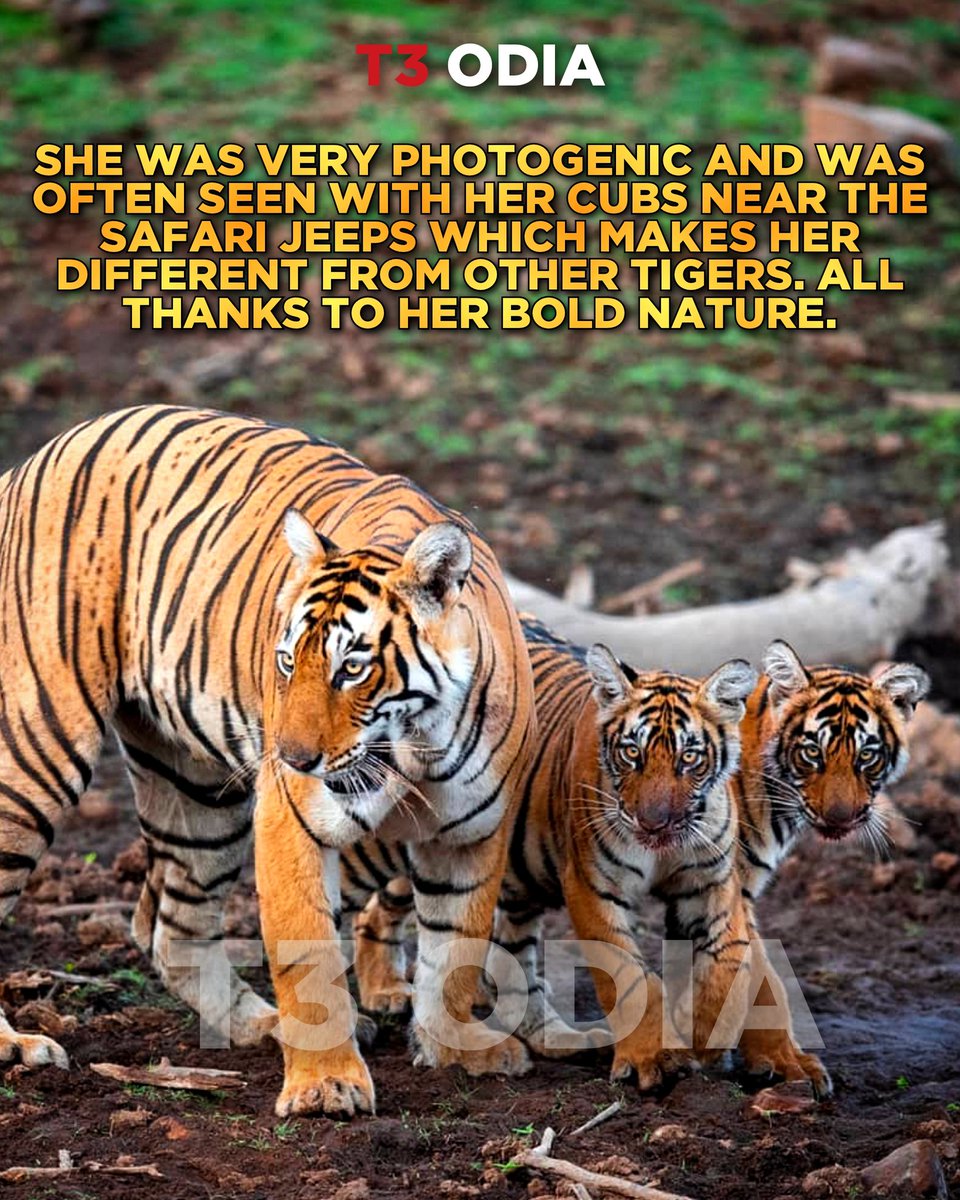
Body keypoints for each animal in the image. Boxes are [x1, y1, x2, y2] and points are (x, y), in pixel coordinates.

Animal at [0, 404, 537, 1119]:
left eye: (352, 668)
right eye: (287, 661)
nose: (291, 757)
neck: (418, 745)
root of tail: (30, 461)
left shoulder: (471, 834)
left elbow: (457, 948)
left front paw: (456, 1050)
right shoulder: (293, 819)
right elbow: (308, 954)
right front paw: (326, 1087)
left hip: (198, 793)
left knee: (172, 927)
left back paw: (257, 1024)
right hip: (35, 752)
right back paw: (19, 1045)